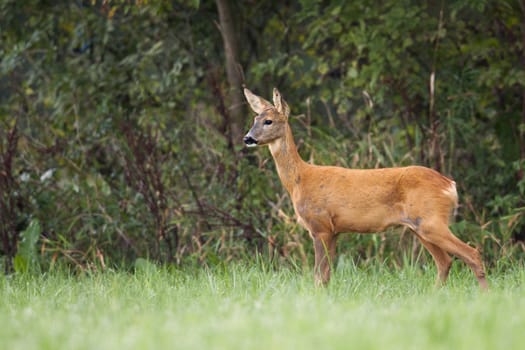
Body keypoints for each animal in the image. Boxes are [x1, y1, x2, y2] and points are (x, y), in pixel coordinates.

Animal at [242, 87, 488, 290]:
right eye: (255, 118)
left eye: (269, 121)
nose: (248, 138)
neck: (300, 180)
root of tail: (450, 185)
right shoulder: (334, 230)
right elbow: (326, 276)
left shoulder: (320, 226)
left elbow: (318, 276)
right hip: (420, 226)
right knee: (445, 262)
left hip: (431, 220)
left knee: (472, 254)